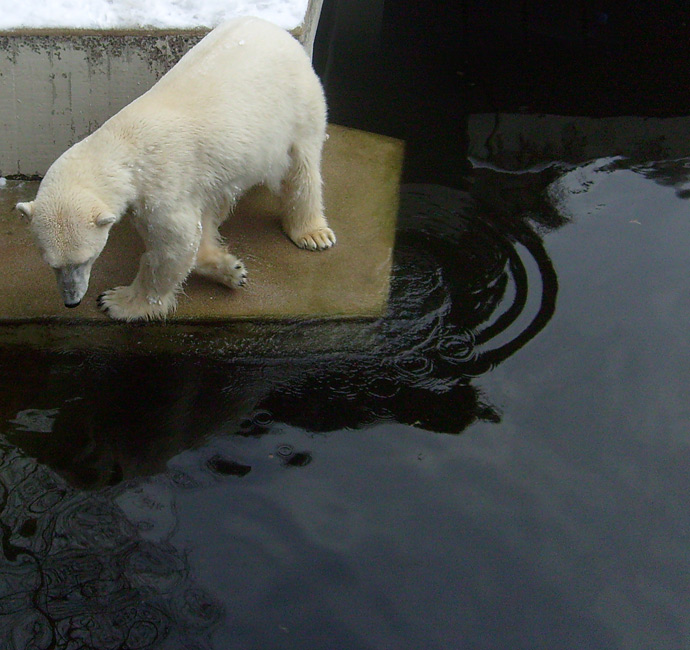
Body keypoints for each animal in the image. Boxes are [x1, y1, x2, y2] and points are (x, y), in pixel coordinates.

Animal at [17, 19, 334, 322]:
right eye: (51, 264)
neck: (124, 146)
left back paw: (313, 234)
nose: (71, 301)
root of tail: (277, 30)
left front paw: (117, 302)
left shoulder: (162, 185)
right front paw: (230, 269)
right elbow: (198, 230)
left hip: (297, 105)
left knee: (301, 171)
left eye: (85, 259)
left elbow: (173, 246)